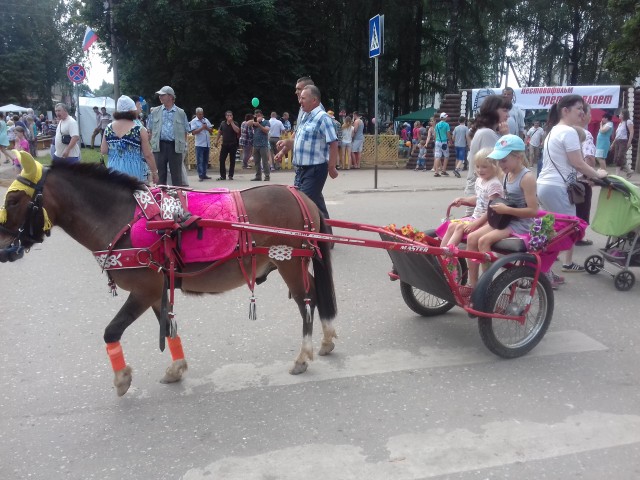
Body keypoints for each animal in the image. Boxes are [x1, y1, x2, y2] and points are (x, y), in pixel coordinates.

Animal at [0, 152, 338, 396]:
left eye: (13, 201)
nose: (4, 249)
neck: (126, 219)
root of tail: (302, 197)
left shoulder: (144, 291)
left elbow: (111, 331)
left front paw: (122, 378)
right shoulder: (157, 290)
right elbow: (170, 329)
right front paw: (177, 368)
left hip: (290, 262)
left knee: (306, 302)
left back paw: (303, 356)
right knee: (314, 297)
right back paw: (326, 340)